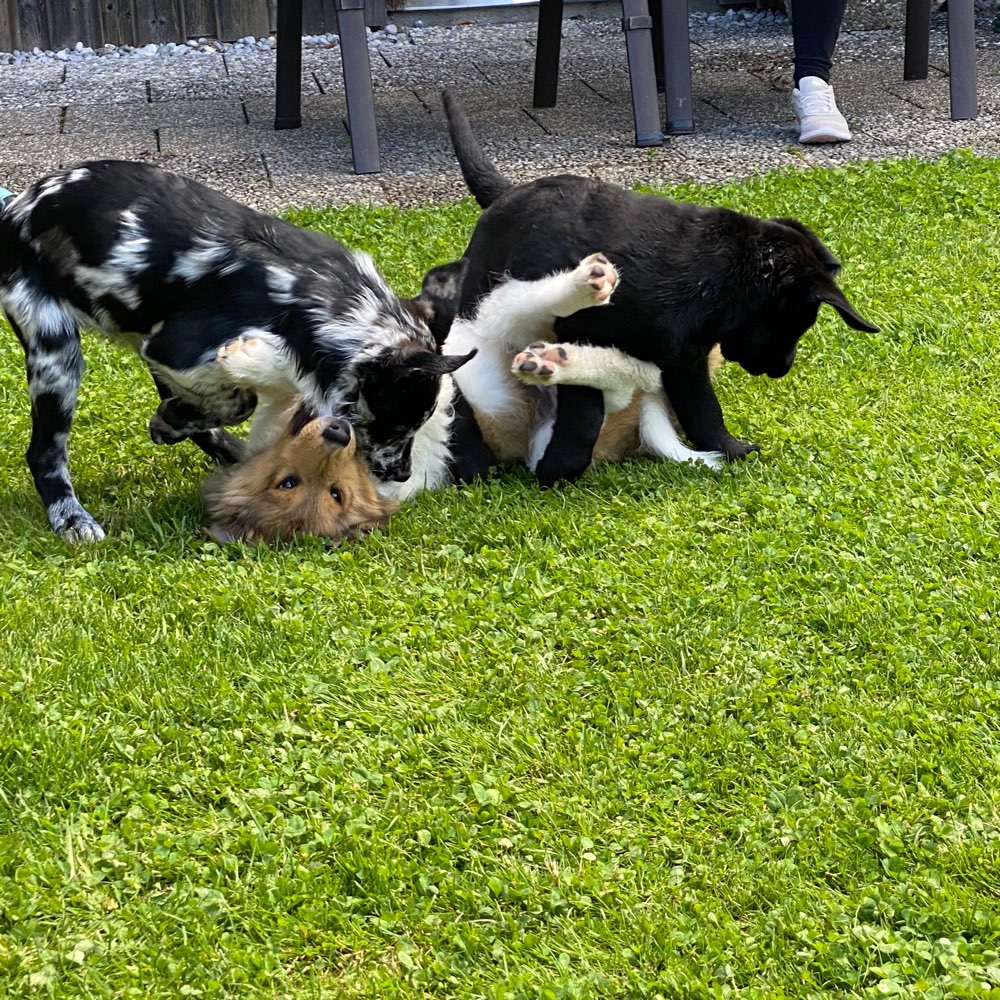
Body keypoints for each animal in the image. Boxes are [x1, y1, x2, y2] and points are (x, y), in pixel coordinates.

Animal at [442, 90, 880, 488]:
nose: (783, 369)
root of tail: (506, 194)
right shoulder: (586, 330)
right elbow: (587, 413)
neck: (720, 280)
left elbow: (703, 412)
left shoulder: (684, 360)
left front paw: (731, 449)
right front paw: (558, 467)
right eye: (796, 324)